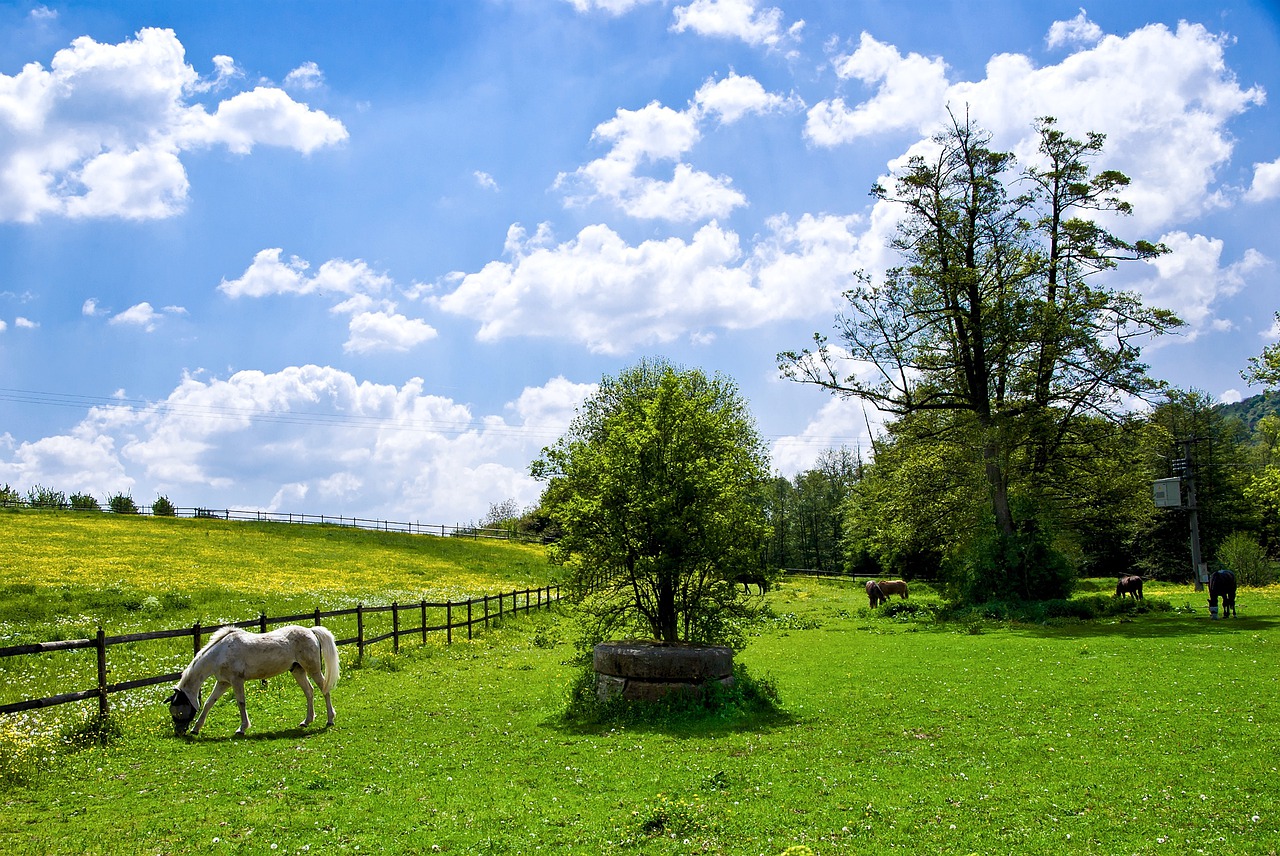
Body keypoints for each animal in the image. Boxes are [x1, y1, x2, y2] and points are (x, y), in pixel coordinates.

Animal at [167, 621, 337, 737]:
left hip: (312, 669)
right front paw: (196, 729)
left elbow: (241, 702)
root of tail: (310, 630)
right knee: (309, 691)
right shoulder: (223, 683)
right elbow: (209, 703)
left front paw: (242, 728)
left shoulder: (236, 681)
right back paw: (306, 721)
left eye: (179, 711)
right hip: (298, 670)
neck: (220, 653)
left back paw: (330, 720)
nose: (179, 732)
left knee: (325, 689)